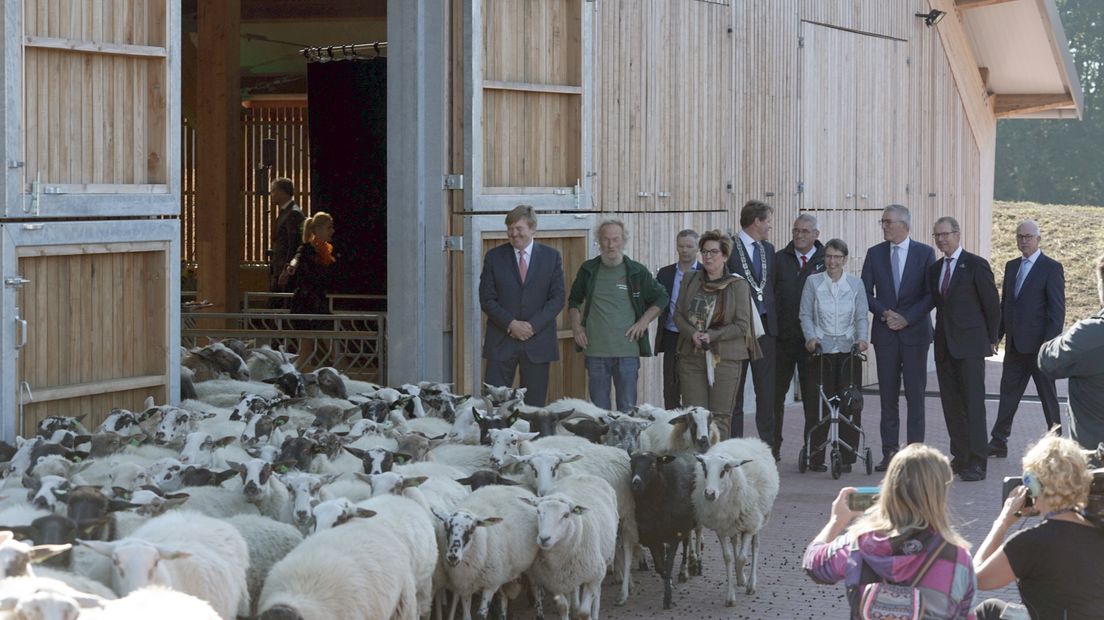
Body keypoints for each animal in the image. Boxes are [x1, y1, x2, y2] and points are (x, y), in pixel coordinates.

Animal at [521, 469, 618, 613]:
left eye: (566, 515)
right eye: (538, 511)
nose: (544, 538)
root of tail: (583, 475)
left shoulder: (594, 576)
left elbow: (584, 612)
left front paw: (586, 613)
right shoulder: (555, 581)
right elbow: (563, 607)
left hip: (604, 561)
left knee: (597, 593)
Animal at [693, 434, 781, 600]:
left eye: (724, 470)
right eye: (704, 469)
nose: (709, 493)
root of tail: (748, 439)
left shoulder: (749, 526)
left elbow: (742, 558)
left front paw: (742, 578)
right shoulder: (720, 528)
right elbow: (728, 557)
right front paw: (730, 596)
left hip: (759, 518)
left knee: (755, 546)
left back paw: (750, 583)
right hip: (734, 523)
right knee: (735, 542)